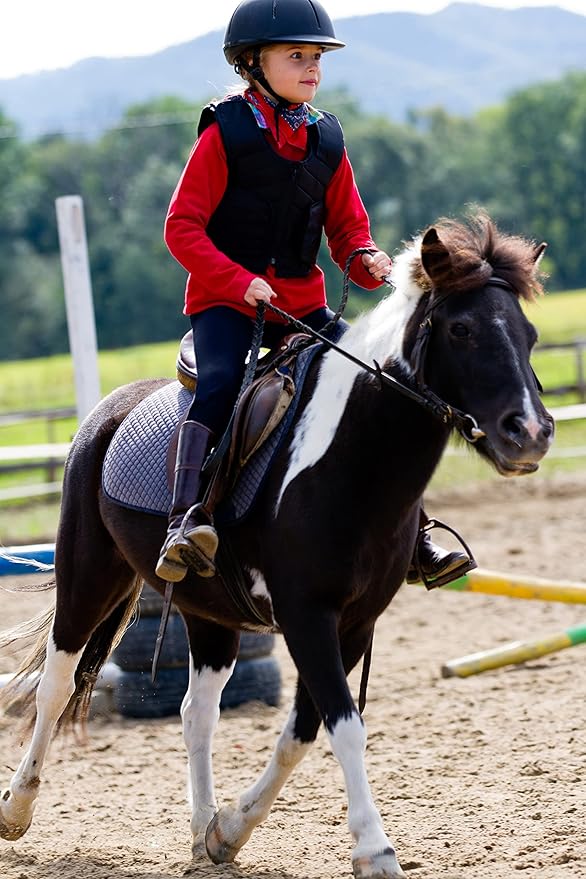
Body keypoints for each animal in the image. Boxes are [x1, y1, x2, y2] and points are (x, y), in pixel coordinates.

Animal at [0, 212, 554, 879]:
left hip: (209, 616)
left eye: (528, 333)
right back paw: (17, 808)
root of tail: (108, 410)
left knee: (196, 712)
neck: (352, 462)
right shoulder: (306, 616)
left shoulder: (354, 623)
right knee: (55, 686)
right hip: (88, 577)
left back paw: (200, 834)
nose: (531, 433)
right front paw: (375, 850)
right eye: (462, 329)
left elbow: (305, 729)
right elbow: (344, 727)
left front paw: (230, 831)